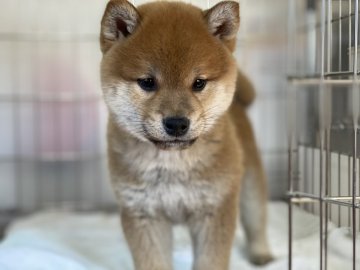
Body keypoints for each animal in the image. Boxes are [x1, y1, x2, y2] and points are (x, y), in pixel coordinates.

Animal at [100, 1, 272, 268]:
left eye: (199, 83)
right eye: (147, 82)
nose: (177, 124)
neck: (173, 164)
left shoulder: (215, 209)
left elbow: (211, 260)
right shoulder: (143, 214)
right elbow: (153, 261)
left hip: (250, 184)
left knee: (257, 221)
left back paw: (261, 253)